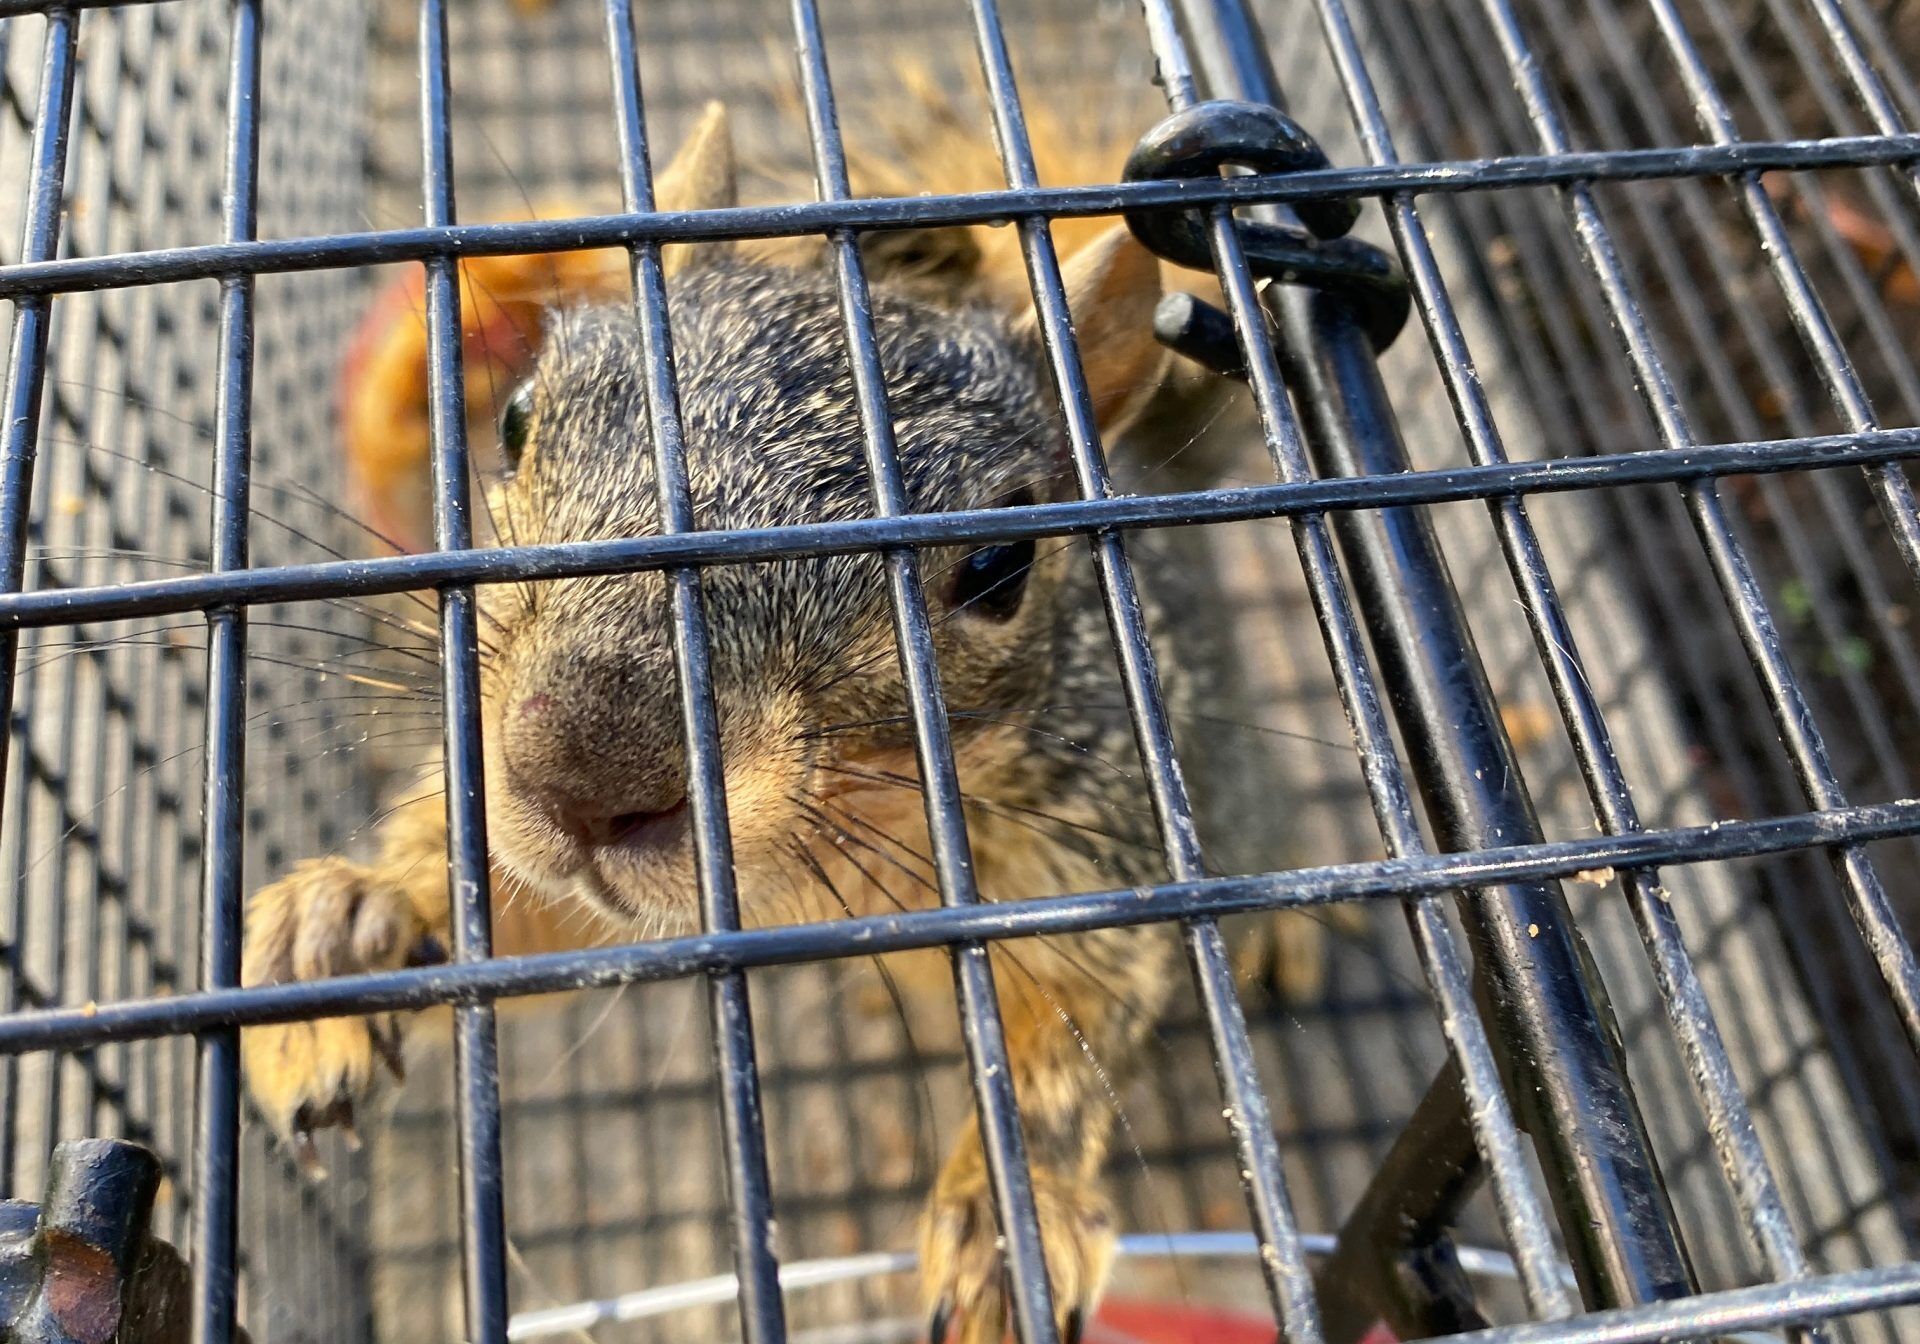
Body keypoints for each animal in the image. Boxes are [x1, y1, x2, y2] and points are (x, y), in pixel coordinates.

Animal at [245, 87, 1355, 1344]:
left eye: (1001, 567)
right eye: (521, 420)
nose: (580, 775)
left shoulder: (1096, 857)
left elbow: (1069, 1043)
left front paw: (1008, 1218)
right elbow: (518, 906)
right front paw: (351, 927)